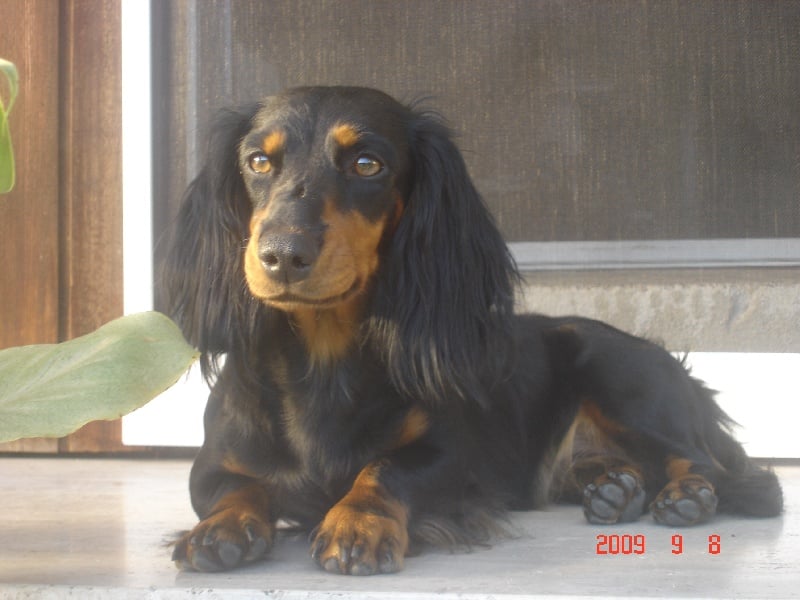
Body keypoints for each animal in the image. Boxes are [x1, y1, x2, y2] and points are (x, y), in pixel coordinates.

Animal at [164, 86, 782, 575]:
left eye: (367, 164)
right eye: (257, 162)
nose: (281, 255)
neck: (324, 361)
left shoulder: (448, 455)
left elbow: (383, 469)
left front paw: (356, 522)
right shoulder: (212, 465)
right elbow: (231, 489)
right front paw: (220, 529)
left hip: (619, 375)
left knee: (710, 465)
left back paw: (686, 496)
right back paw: (613, 488)